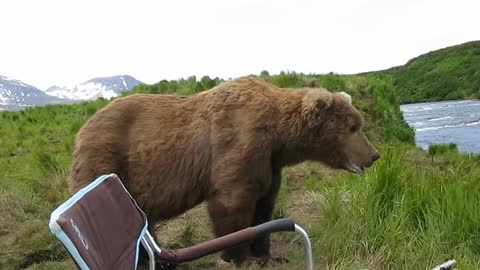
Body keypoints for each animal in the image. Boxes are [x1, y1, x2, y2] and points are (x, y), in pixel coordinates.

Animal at [69, 75, 380, 266]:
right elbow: (232, 203)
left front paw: (267, 255)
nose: (374, 155)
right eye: (353, 127)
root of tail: (83, 128)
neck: (278, 135)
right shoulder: (238, 142)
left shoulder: (269, 163)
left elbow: (264, 205)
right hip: (107, 159)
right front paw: (241, 256)